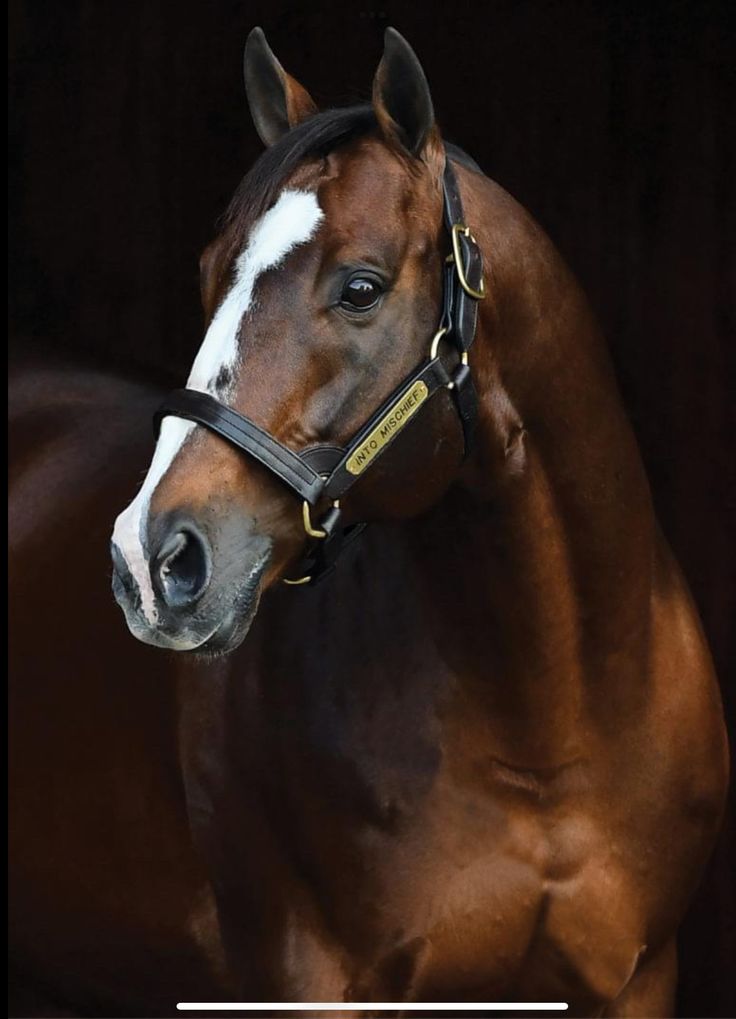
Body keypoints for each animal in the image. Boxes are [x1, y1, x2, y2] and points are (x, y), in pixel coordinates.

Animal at [10, 23, 721, 1019]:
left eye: (360, 288)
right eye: (207, 276)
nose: (150, 562)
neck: (549, 724)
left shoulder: (638, 978)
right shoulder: (305, 976)